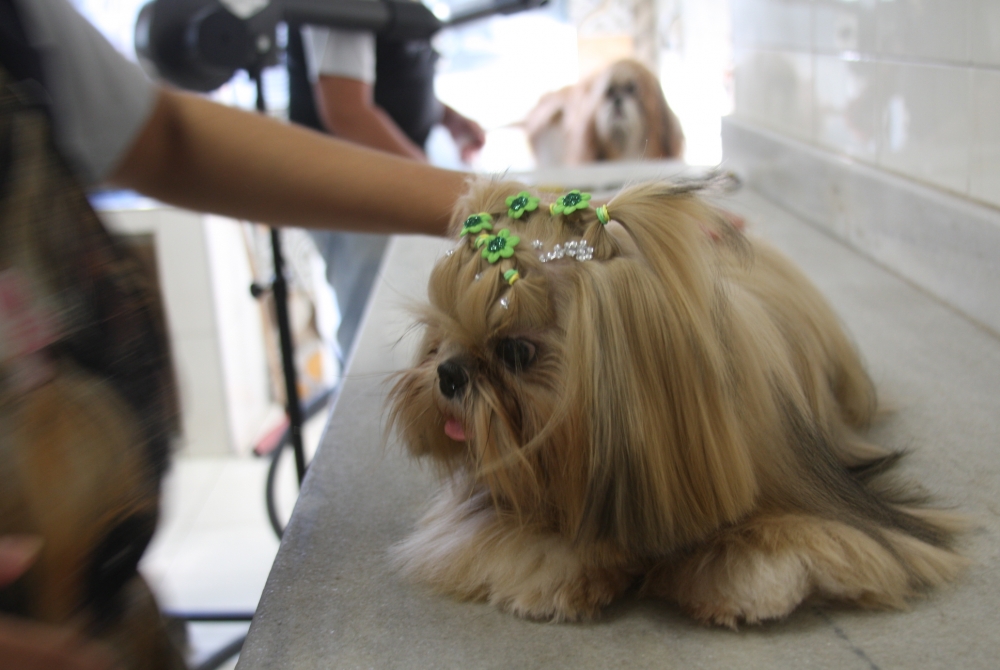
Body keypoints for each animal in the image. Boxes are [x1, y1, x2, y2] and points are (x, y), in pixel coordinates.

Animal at [386, 180, 964, 632]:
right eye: (438, 340)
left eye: (515, 352)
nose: (449, 374)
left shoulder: (825, 503)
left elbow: (796, 539)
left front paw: (747, 576)